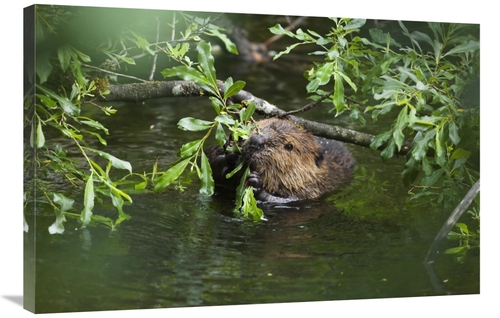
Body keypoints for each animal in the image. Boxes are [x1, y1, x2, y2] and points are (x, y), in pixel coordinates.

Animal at [208, 117, 356, 204]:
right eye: (257, 127)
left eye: (289, 146)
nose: (256, 141)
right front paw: (230, 149)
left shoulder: (312, 188)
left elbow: (286, 200)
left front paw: (255, 183)